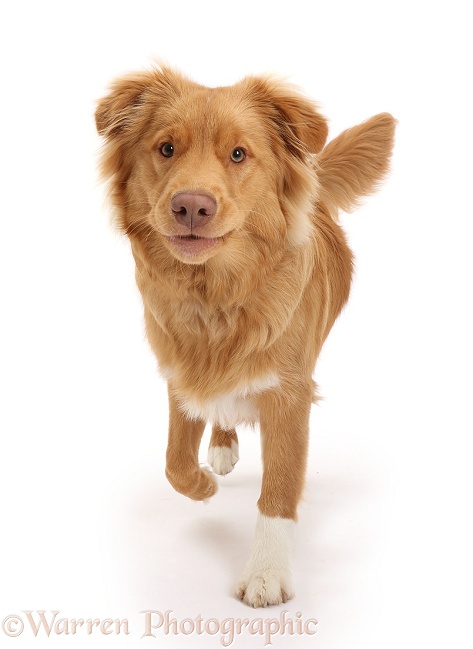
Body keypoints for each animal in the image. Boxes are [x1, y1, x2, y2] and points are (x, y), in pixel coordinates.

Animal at [95, 63, 394, 604]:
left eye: (238, 154)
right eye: (166, 148)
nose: (192, 206)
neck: (215, 297)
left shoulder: (290, 395)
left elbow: (279, 489)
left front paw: (266, 574)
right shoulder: (179, 374)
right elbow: (174, 460)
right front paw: (203, 487)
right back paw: (222, 445)